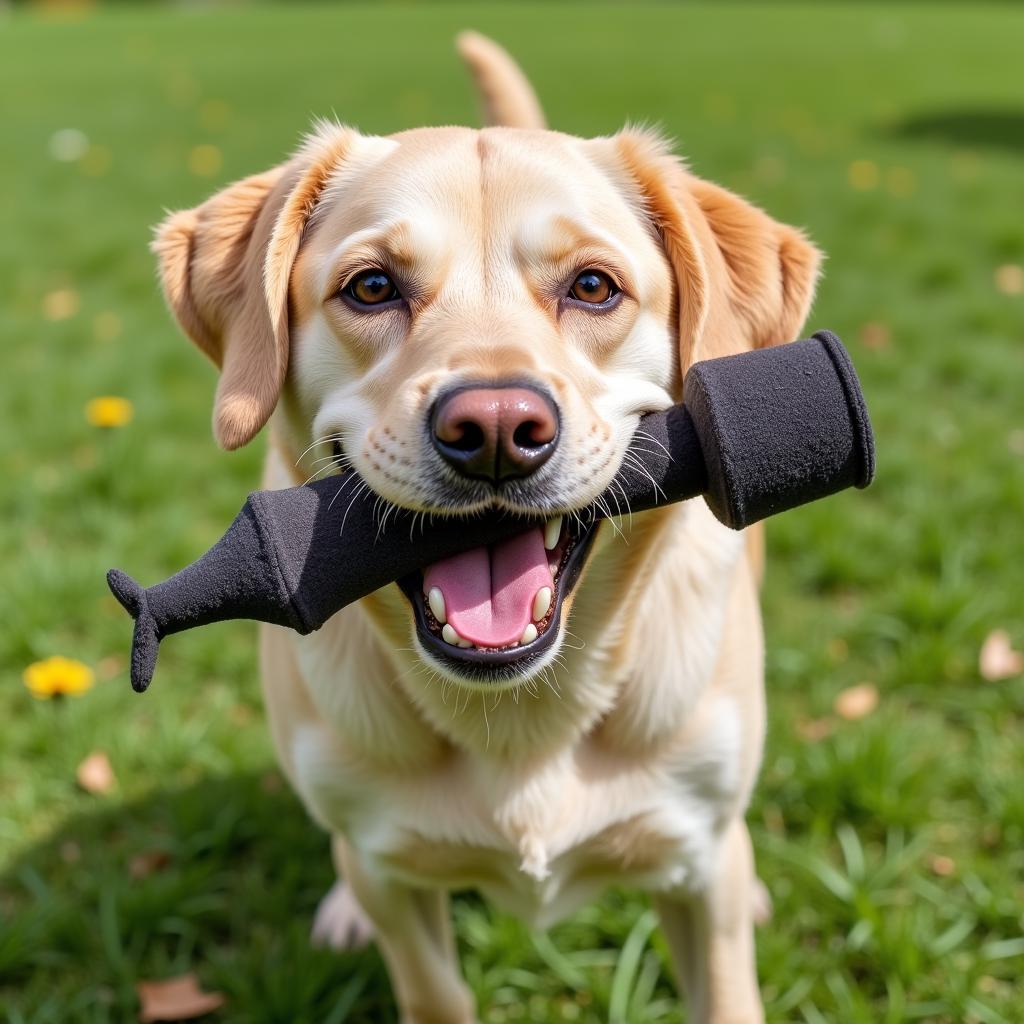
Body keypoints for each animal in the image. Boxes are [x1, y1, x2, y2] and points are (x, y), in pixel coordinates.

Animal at [153, 32, 815, 1024]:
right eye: (372, 286)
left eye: (593, 286)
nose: (497, 430)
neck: (521, 719)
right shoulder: (395, 882)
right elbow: (429, 980)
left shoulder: (702, 874)